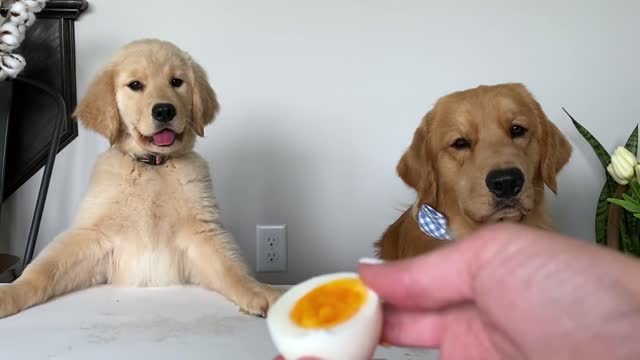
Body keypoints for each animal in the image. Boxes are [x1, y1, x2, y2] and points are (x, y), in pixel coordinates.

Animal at [0, 38, 280, 318]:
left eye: (176, 82)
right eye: (135, 85)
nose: (165, 111)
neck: (153, 166)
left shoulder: (201, 233)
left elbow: (231, 268)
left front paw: (259, 289)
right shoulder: (92, 234)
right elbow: (44, 269)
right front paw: (10, 292)